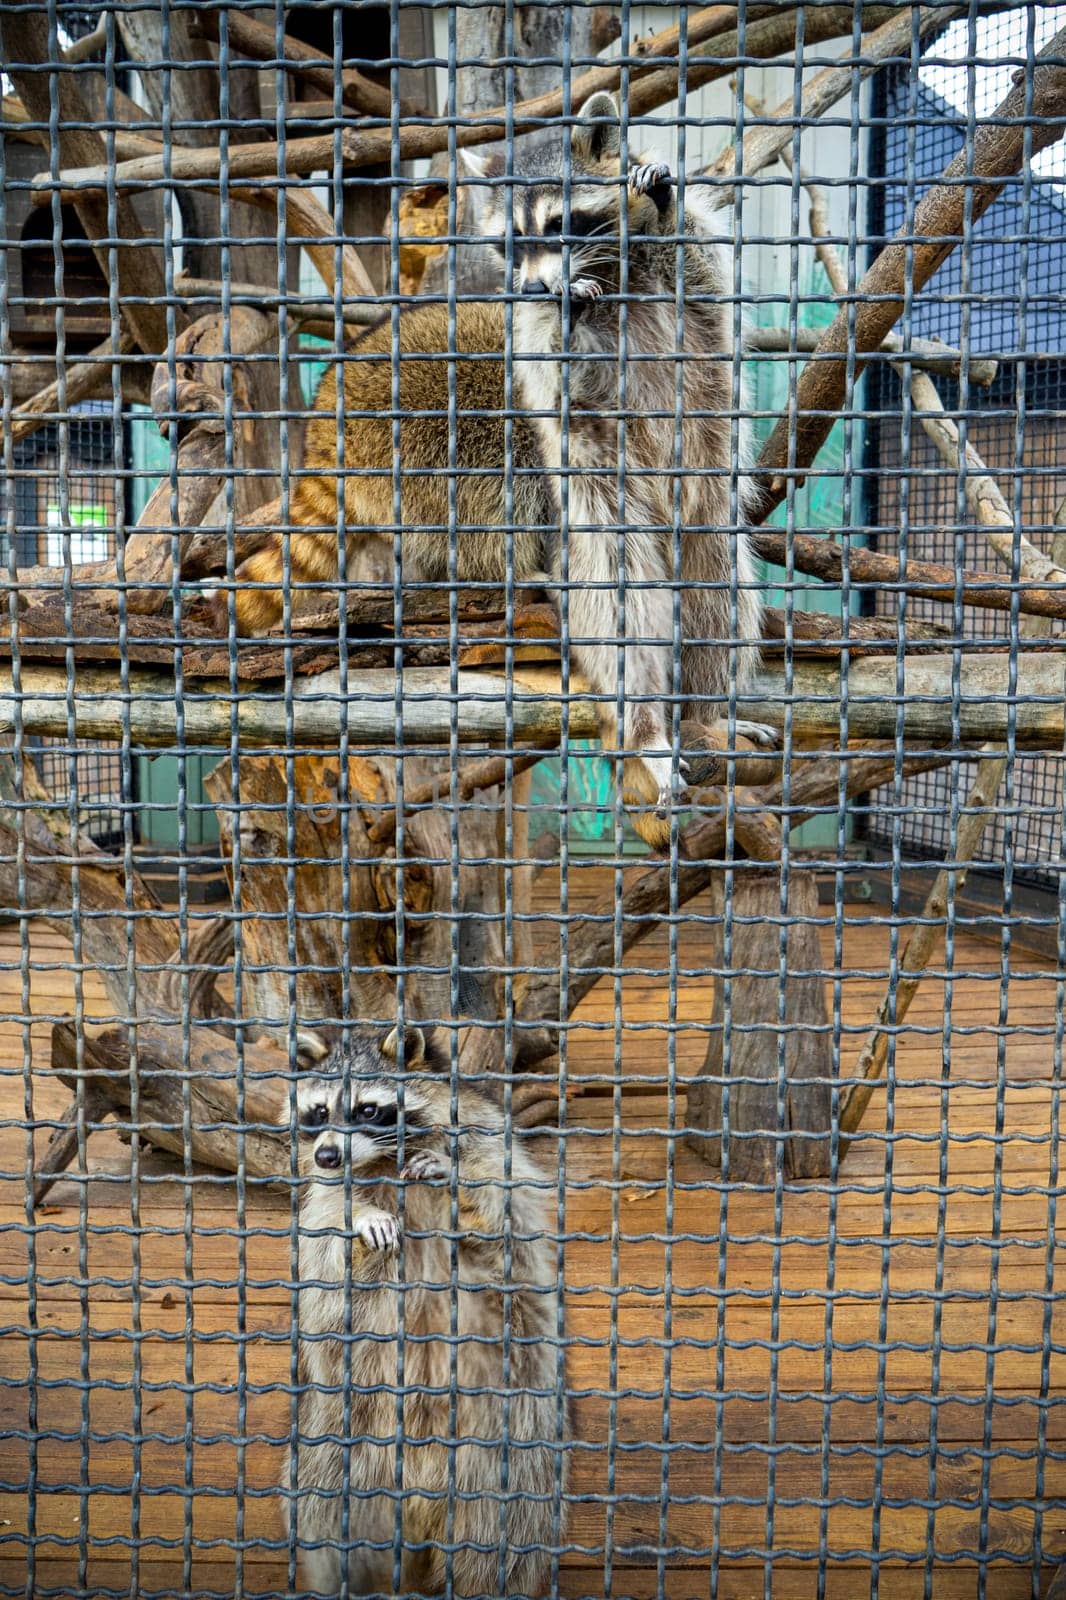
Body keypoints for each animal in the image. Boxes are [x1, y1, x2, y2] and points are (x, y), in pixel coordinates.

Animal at [281, 1024, 563, 1600]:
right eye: (317, 1112)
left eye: (367, 1110)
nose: (326, 1156)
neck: (386, 1158)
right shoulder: (321, 1205)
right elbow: (327, 1242)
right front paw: (362, 1216)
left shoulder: (491, 1150)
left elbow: (506, 1221)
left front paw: (451, 1178)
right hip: (339, 1443)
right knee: (325, 1517)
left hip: (506, 1454)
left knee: (501, 1539)